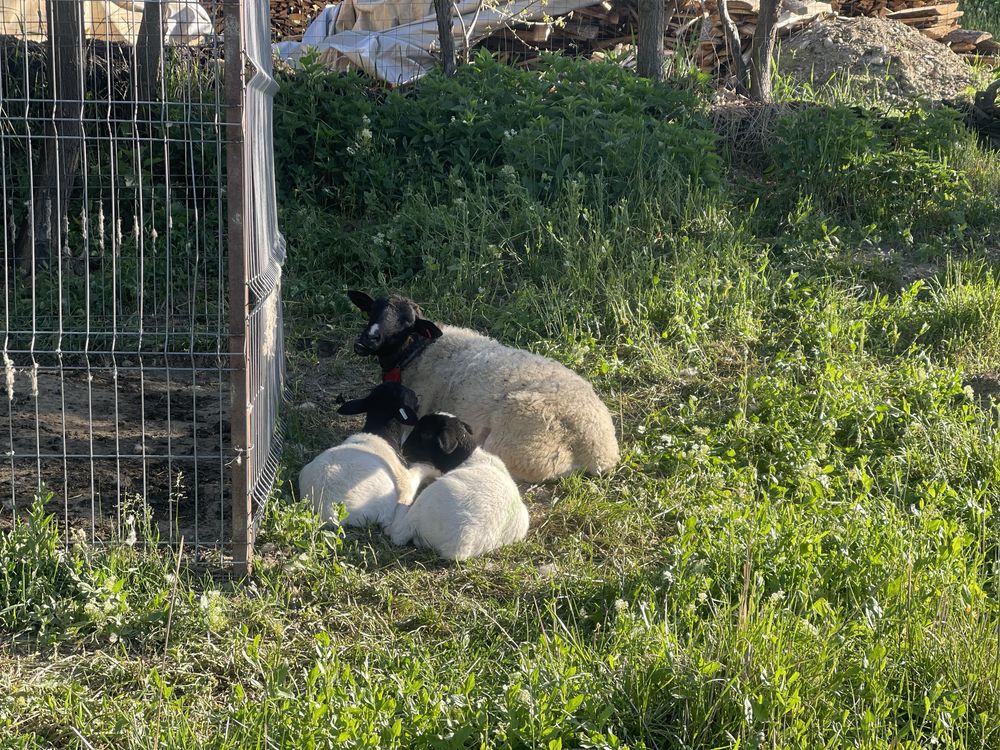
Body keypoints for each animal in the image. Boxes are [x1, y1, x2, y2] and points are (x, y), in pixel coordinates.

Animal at [296, 384, 438, 532]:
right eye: (407, 393)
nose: (418, 396)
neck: (381, 431)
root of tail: (326, 512)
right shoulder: (405, 483)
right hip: (385, 506)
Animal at [350, 290, 616, 484]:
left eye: (406, 322)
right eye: (371, 311)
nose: (365, 341)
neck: (419, 352)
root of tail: (599, 452)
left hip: (515, 446)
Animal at [386, 414, 532, 560]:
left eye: (425, 434)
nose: (403, 449)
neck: (467, 458)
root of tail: (458, 545)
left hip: (424, 501)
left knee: (397, 532)